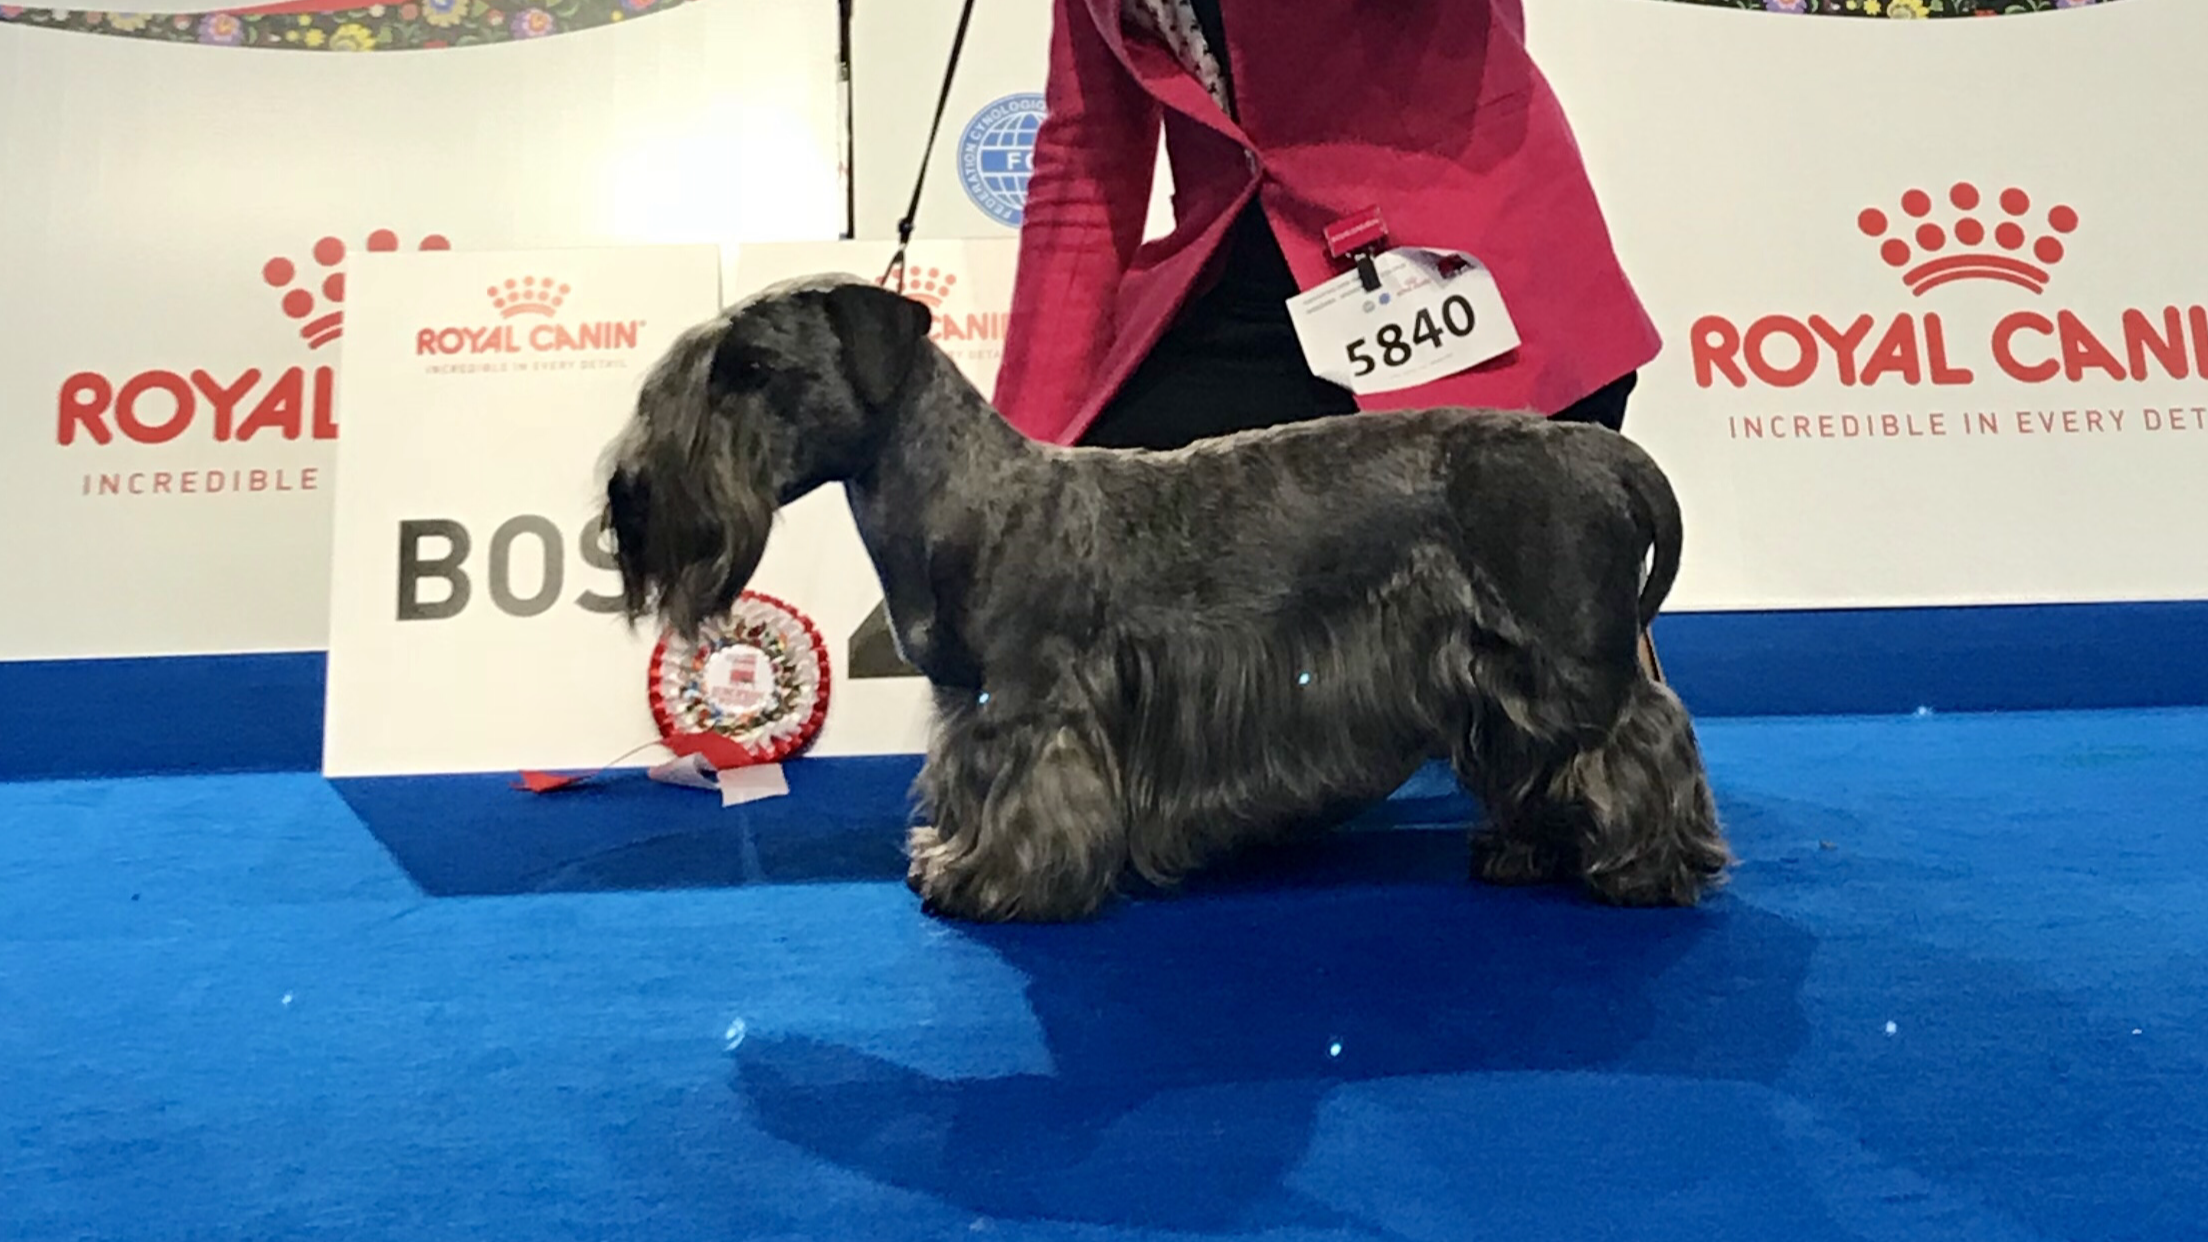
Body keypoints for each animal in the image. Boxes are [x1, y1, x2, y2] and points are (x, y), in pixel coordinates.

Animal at [602, 275, 1731, 923]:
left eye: (749, 368)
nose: (630, 494)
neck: (966, 494)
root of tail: (1599, 451)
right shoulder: (972, 705)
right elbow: (965, 784)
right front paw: (953, 855)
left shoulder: (1032, 703)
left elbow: (1027, 799)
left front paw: (992, 882)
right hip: (1507, 671)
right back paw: (1527, 850)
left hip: (1568, 653)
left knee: (1642, 738)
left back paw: (1647, 867)